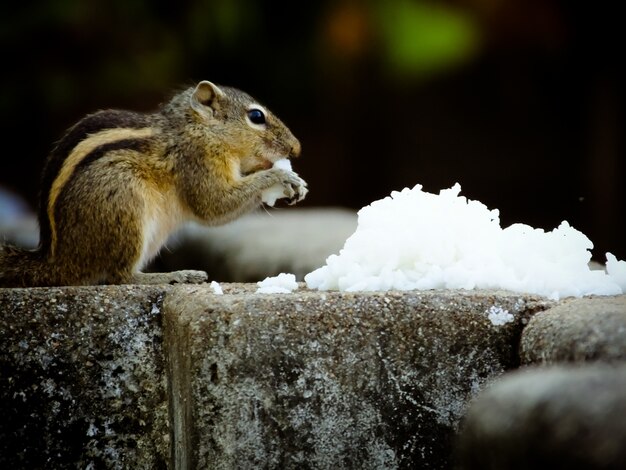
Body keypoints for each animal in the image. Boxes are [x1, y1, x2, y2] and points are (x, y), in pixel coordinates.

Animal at [0, 80, 308, 286]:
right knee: (119, 277)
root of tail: (57, 260)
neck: (196, 128)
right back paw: (173, 276)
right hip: (124, 200)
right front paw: (281, 177)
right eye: (256, 116)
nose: (297, 148)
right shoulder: (196, 161)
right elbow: (212, 205)